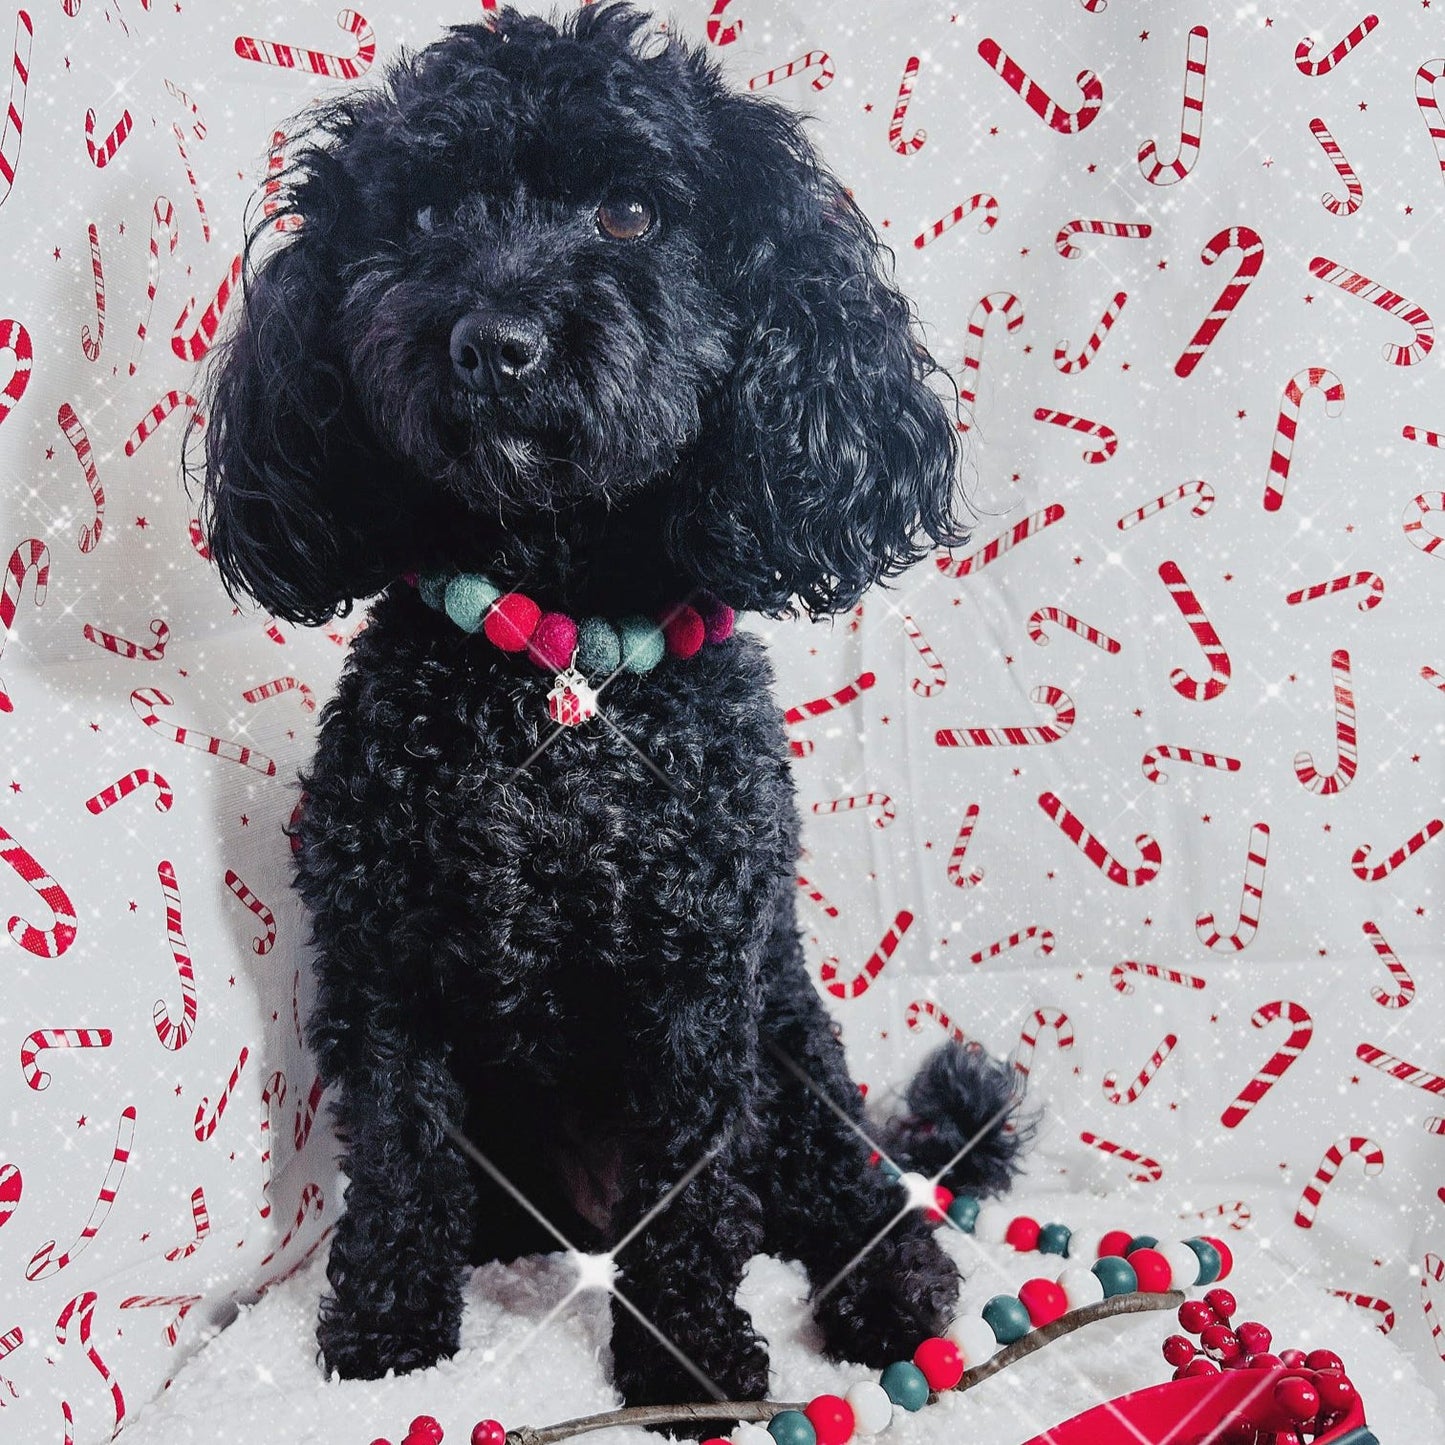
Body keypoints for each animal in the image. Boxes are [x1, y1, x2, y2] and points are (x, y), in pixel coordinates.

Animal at [189, 0, 1028, 1416]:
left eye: (629, 214)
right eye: (425, 216)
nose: (493, 343)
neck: (560, 663)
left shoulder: (693, 993)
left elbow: (689, 1203)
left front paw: (686, 1367)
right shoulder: (390, 968)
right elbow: (401, 1166)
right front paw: (384, 1334)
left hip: (791, 1044)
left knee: (857, 1186)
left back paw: (890, 1292)